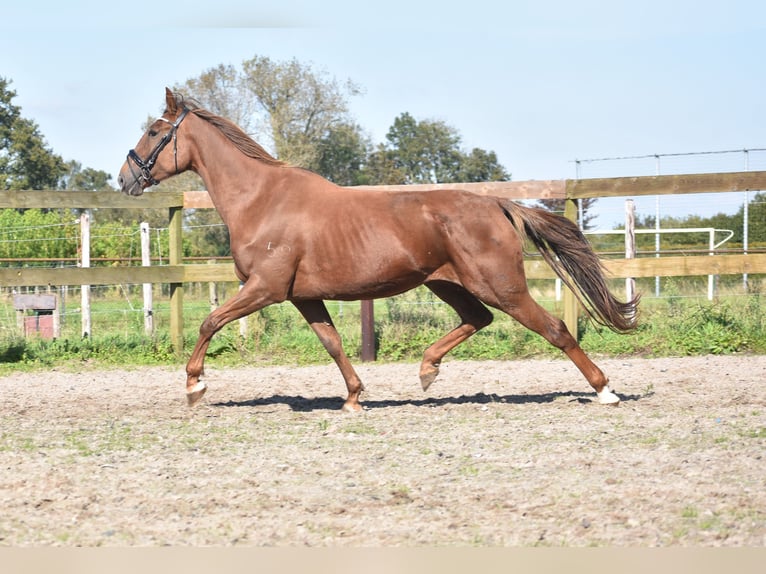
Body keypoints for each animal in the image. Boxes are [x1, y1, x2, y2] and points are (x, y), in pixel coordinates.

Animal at [117, 88, 640, 412]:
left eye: (153, 131)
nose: (125, 179)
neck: (261, 200)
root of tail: (498, 203)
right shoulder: (303, 296)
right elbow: (332, 342)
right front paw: (353, 396)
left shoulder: (265, 288)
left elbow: (210, 322)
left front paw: (194, 385)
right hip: (449, 284)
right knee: (478, 319)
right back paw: (427, 370)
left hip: (502, 286)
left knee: (554, 329)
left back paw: (606, 391)